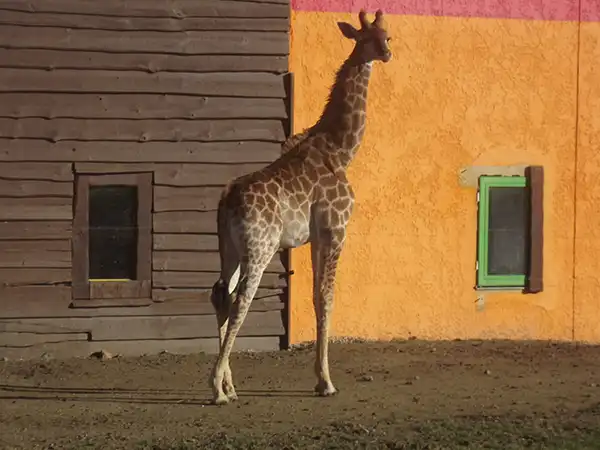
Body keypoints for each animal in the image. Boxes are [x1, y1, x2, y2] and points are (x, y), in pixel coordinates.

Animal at [209, 8, 392, 406]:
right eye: (367, 37)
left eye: (388, 36)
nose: (387, 54)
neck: (341, 149)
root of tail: (227, 197)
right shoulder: (336, 228)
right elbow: (327, 298)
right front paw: (326, 382)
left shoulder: (313, 236)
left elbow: (314, 297)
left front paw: (320, 378)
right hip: (259, 248)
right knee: (241, 299)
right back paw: (215, 388)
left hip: (229, 248)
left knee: (220, 294)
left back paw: (230, 387)